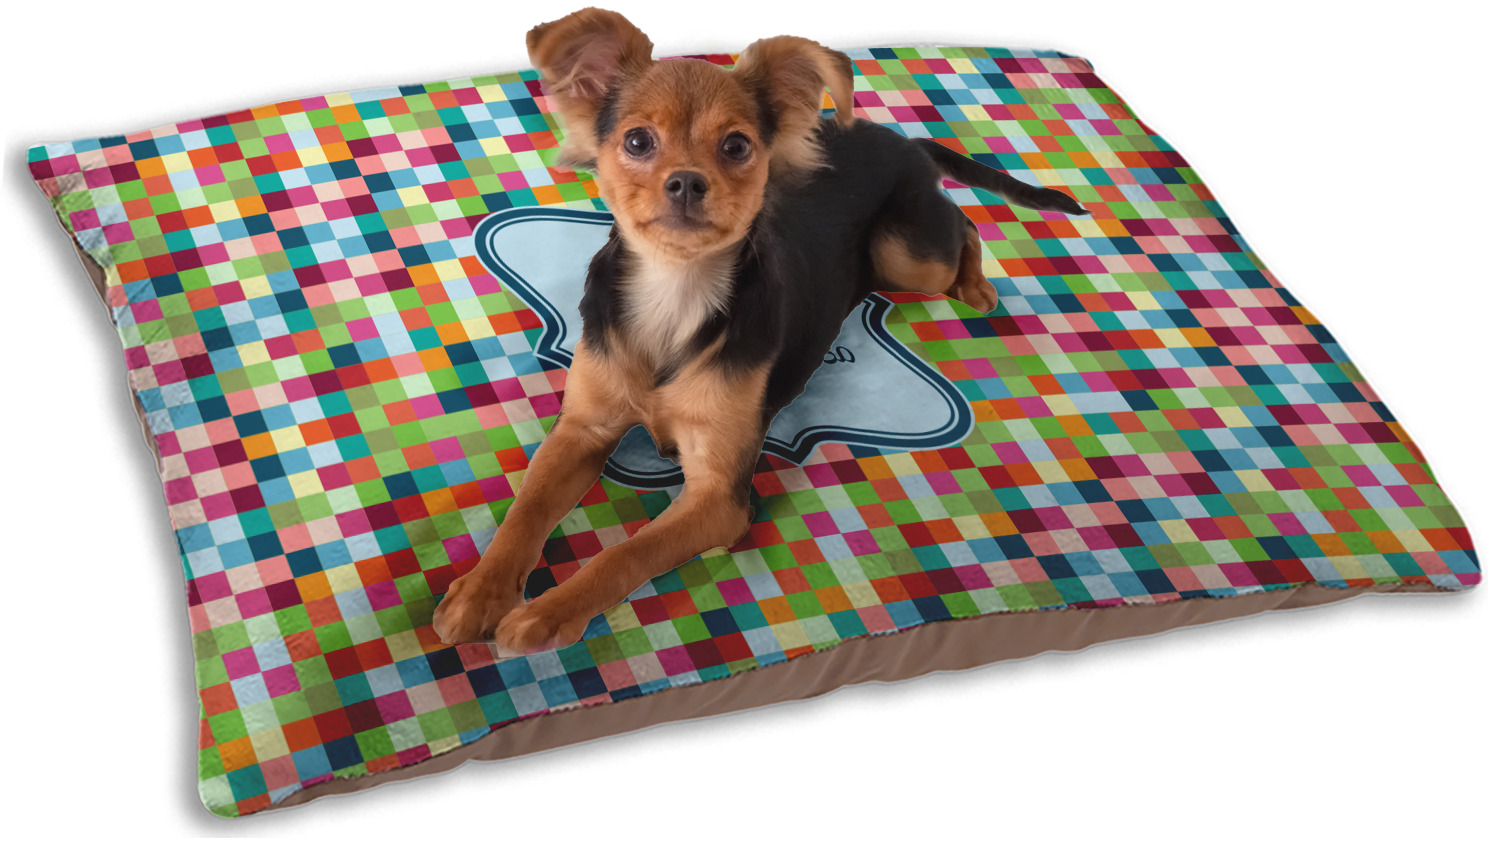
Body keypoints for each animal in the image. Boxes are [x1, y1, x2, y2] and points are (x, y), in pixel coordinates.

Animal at [432, 7, 1089, 653]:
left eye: (736, 146)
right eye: (638, 141)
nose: (687, 181)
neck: (676, 295)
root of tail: (901, 139)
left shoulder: (720, 497)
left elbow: (625, 553)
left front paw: (547, 613)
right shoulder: (582, 428)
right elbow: (526, 508)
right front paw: (480, 592)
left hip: (907, 255)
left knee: (965, 225)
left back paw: (975, 287)